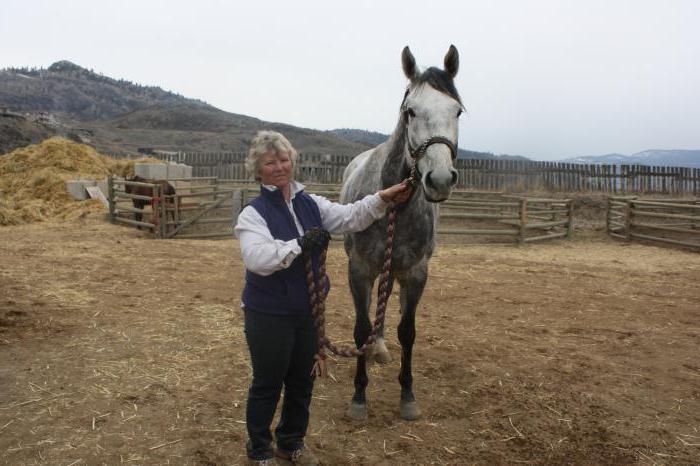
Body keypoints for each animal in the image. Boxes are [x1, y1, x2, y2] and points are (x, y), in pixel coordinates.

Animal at [340, 45, 462, 420]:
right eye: (410, 111)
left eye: (458, 111)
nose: (440, 179)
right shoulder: (360, 269)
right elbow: (360, 327)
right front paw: (358, 397)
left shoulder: (415, 271)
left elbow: (407, 332)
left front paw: (407, 396)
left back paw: (379, 348)